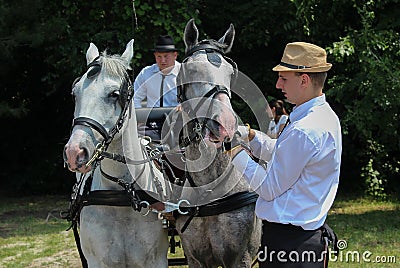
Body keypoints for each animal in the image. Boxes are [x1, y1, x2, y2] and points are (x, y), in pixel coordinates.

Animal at [63, 39, 169, 268]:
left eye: (114, 94)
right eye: (75, 92)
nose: (75, 152)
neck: (122, 192)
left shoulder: (156, 260)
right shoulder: (97, 261)